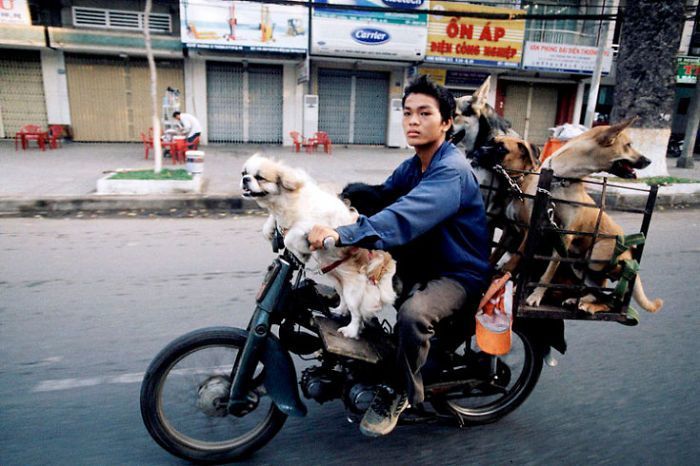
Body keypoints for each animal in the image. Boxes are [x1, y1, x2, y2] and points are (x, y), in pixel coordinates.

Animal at [241, 154, 396, 338]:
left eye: (259, 178)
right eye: (244, 173)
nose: (245, 179)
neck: (285, 200)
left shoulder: (313, 226)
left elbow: (290, 237)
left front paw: (300, 252)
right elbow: (276, 221)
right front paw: (269, 230)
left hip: (353, 290)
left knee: (356, 313)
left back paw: (350, 331)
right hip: (338, 282)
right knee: (344, 301)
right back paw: (339, 311)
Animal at [504, 120, 660, 314]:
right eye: (628, 145)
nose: (649, 160)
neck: (560, 178)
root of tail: (631, 253)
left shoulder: (565, 235)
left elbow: (548, 272)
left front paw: (535, 296)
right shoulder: (538, 228)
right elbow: (529, 261)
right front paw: (517, 286)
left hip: (596, 255)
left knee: (609, 295)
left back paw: (588, 304)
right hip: (579, 265)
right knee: (596, 291)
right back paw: (577, 300)